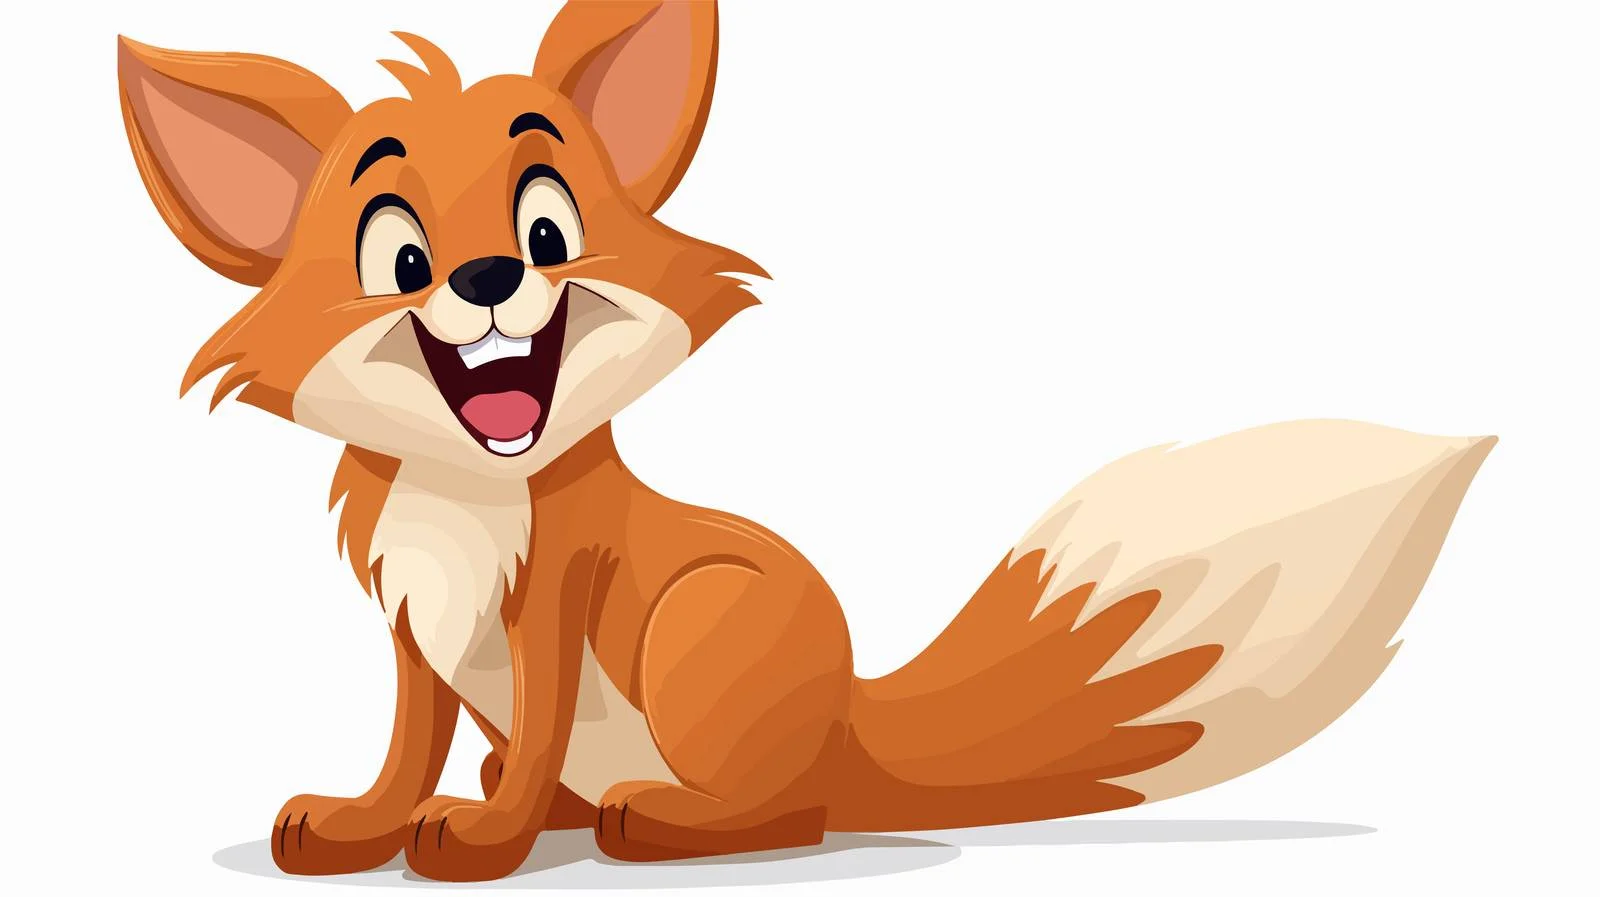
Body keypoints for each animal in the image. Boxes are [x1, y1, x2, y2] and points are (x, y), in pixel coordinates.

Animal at [117, 0, 1494, 883]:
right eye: (397, 257)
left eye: (549, 230)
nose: (491, 275)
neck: (469, 497)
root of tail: (847, 720)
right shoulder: (415, 623)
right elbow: (407, 748)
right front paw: (371, 826)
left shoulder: (556, 600)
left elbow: (536, 722)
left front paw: (488, 841)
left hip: (696, 623)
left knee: (783, 816)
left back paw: (650, 819)